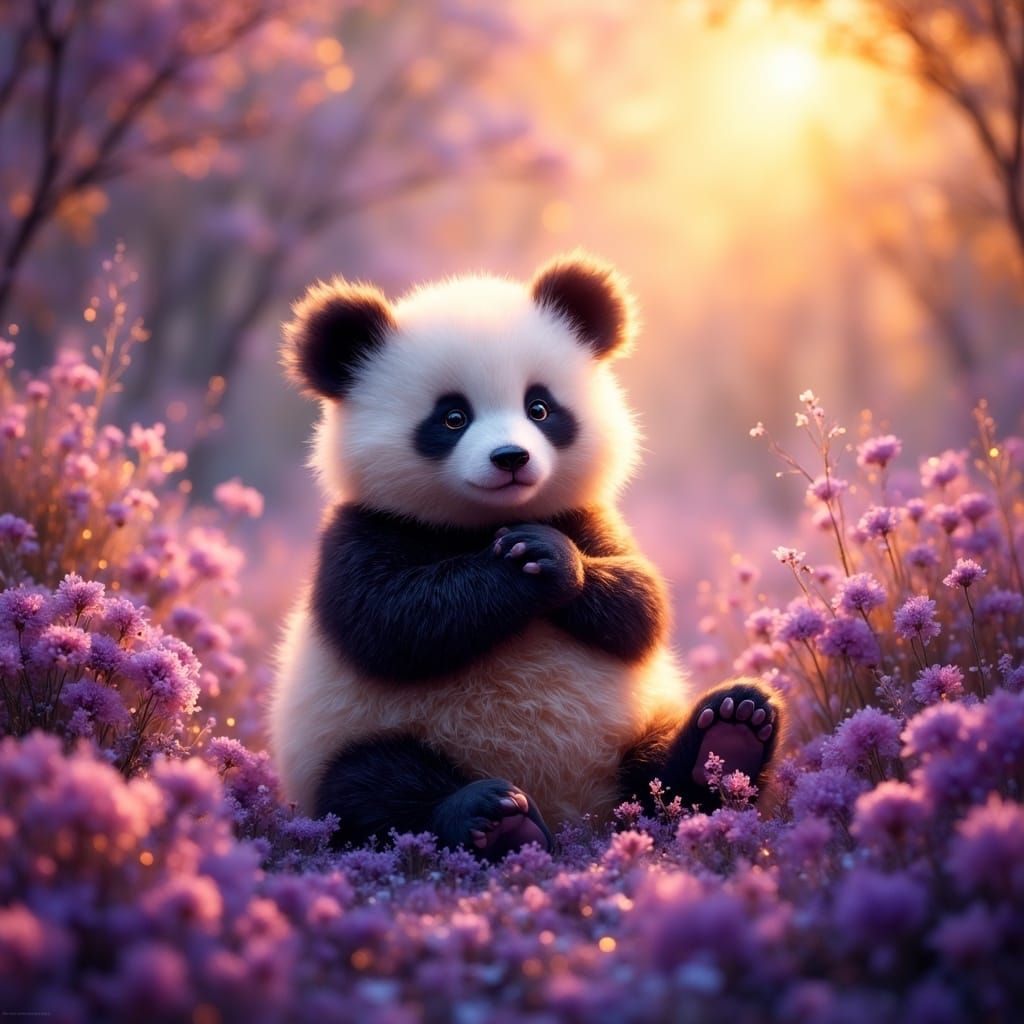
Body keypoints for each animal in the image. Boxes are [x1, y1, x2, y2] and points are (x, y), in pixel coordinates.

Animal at [270, 253, 781, 859]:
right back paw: (492, 816)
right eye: (452, 417)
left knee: (661, 771)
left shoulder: (587, 517)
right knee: (372, 787)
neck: (482, 522)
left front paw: (552, 558)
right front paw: (512, 572)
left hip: (635, 728)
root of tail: (577, 818)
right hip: (349, 742)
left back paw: (729, 733)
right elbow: (389, 623)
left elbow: (643, 603)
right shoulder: (363, 529)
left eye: (539, 407)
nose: (511, 457)